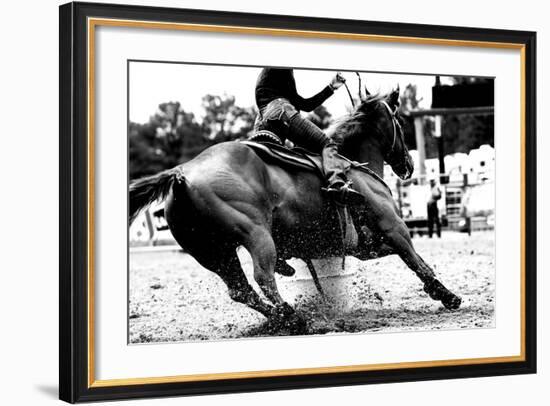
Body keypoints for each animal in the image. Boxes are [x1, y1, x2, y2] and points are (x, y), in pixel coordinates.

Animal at [132, 88, 464, 330]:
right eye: (400, 123)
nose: (408, 165)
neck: (354, 166)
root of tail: (182, 174)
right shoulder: (395, 229)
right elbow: (418, 262)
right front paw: (448, 296)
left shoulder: (365, 245)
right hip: (256, 237)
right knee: (263, 278)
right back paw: (293, 317)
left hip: (214, 253)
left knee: (240, 290)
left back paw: (285, 318)